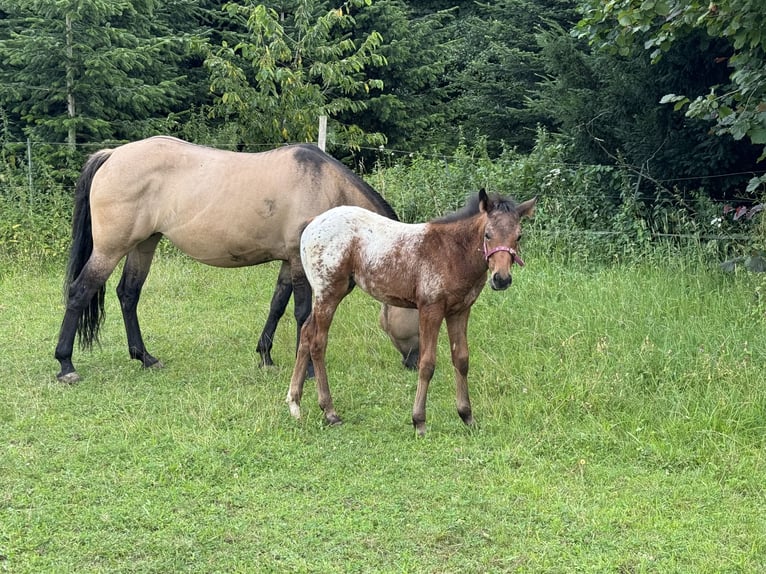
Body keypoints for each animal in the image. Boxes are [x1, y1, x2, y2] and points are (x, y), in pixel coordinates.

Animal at [54, 137, 420, 384]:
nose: (415, 362)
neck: (329, 189)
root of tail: (112, 154)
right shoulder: (301, 263)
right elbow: (303, 314)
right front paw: (309, 371)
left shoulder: (288, 262)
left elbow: (277, 305)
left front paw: (265, 356)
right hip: (110, 249)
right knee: (80, 292)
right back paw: (66, 365)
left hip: (144, 244)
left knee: (128, 295)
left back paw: (144, 357)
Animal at [284, 189, 536, 436]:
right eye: (488, 234)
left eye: (519, 236)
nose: (501, 279)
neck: (453, 253)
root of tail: (313, 223)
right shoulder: (430, 309)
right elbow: (427, 364)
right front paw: (419, 421)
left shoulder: (460, 311)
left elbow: (461, 359)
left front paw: (467, 416)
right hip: (328, 293)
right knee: (318, 343)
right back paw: (329, 412)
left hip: (331, 293)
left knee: (306, 332)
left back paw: (295, 405)